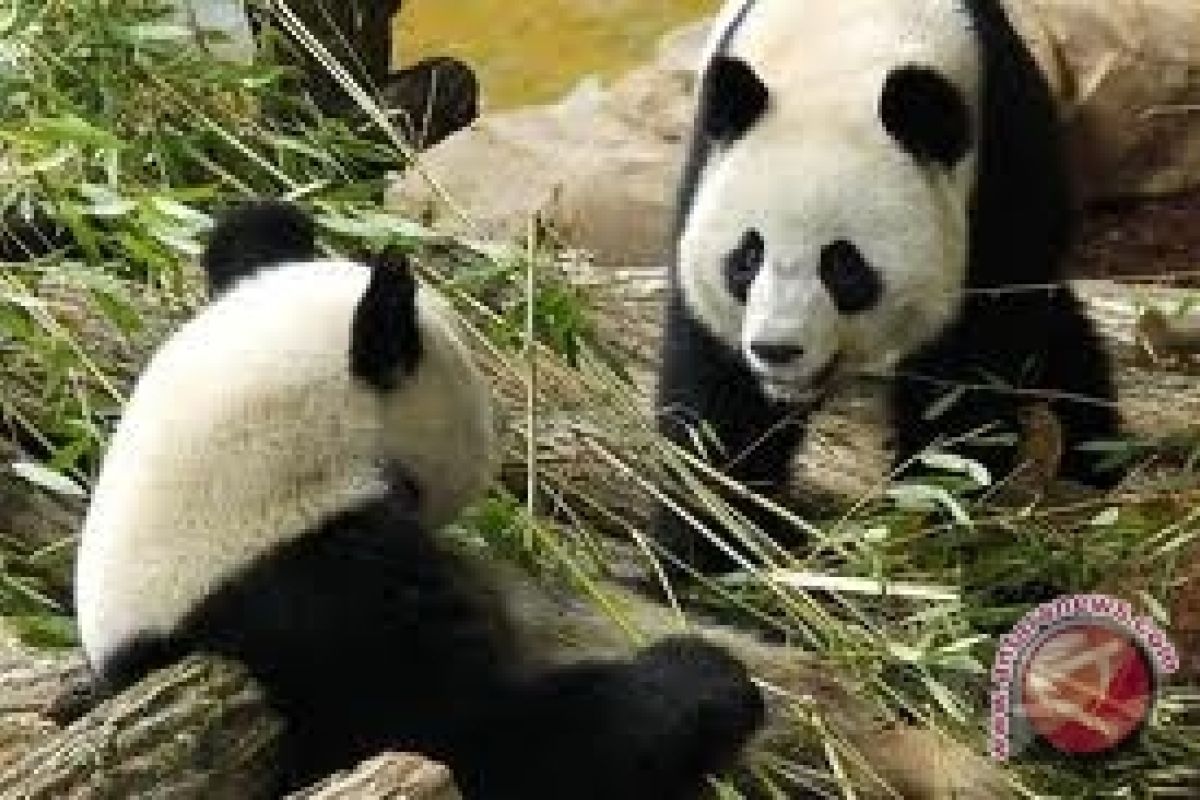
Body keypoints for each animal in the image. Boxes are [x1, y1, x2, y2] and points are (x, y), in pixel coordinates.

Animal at [652, 0, 1118, 568]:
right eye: (747, 257)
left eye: (844, 267)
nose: (777, 350)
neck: (846, 43)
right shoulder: (705, 169)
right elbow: (717, 402)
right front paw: (711, 549)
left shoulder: (1003, 153)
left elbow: (969, 372)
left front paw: (926, 524)